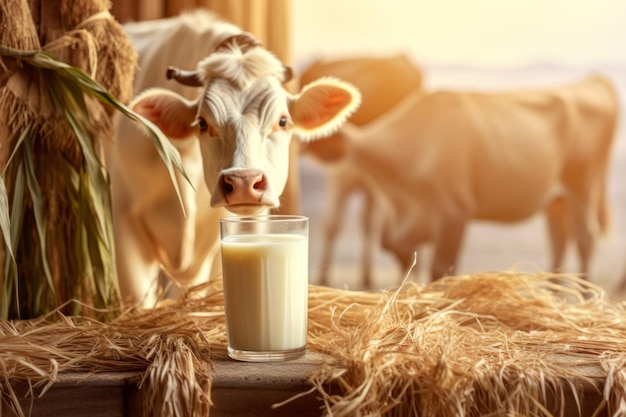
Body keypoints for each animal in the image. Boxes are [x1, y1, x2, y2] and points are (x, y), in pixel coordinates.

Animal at [324, 74, 616, 282]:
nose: (343, 178)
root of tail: (594, 82)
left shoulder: (453, 213)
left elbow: (441, 269)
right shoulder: (407, 233)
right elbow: (409, 265)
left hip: (581, 187)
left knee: (585, 240)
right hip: (555, 200)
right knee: (559, 244)